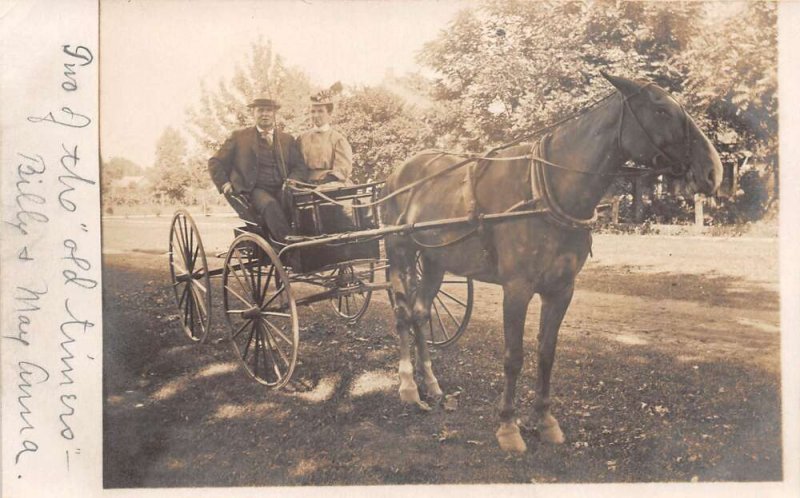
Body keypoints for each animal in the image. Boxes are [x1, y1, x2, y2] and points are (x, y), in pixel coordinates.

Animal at [378, 73, 720, 452]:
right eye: (660, 110)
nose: (713, 171)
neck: (547, 191)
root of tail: (398, 173)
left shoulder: (561, 290)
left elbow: (546, 352)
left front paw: (544, 421)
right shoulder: (516, 289)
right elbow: (514, 357)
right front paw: (508, 426)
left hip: (434, 260)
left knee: (421, 312)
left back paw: (433, 384)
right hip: (400, 253)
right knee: (403, 314)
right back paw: (409, 387)